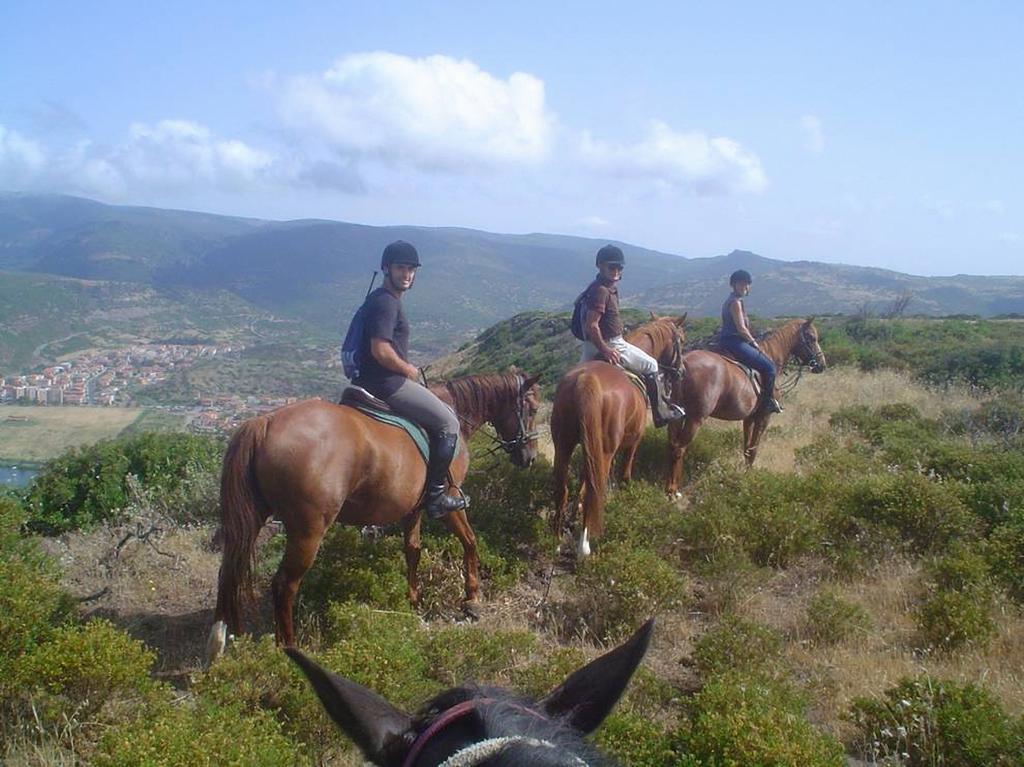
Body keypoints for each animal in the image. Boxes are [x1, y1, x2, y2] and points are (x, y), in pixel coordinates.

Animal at [207, 370, 544, 659]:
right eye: (532, 408)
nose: (529, 457)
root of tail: (264, 422)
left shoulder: (413, 509)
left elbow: (413, 551)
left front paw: (413, 601)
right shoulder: (449, 502)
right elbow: (470, 541)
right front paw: (472, 599)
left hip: (253, 520)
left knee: (228, 572)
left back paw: (218, 643)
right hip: (308, 532)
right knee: (283, 585)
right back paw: (288, 649)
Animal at [548, 313, 684, 557]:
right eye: (682, 341)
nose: (681, 372)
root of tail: (585, 380)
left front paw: (572, 519)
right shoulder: (633, 441)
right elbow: (624, 475)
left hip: (564, 445)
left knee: (563, 489)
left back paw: (557, 539)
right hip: (605, 449)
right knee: (594, 489)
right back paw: (584, 545)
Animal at [663, 317, 823, 497]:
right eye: (812, 338)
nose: (821, 364)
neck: (772, 356)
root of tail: (683, 363)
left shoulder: (749, 418)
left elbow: (746, 449)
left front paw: (744, 475)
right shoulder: (763, 416)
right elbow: (753, 449)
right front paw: (749, 478)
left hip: (677, 415)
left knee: (672, 446)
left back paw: (669, 487)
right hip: (695, 418)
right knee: (680, 448)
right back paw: (674, 491)